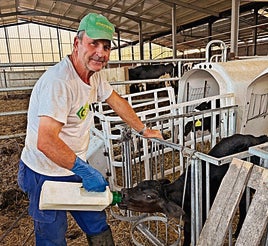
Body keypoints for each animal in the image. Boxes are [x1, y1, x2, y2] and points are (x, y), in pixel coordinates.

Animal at [119, 135, 268, 246]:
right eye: (139, 184)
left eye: (150, 196)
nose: (124, 192)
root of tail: (256, 138)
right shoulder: (187, 222)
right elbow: (186, 238)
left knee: (243, 208)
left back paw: (237, 233)